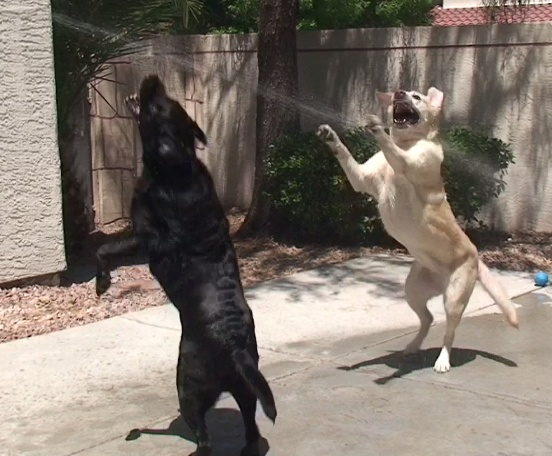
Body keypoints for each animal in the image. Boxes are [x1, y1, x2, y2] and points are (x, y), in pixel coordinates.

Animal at [128, 76, 276, 454]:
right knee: (251, 423)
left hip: (188, 387)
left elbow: (105, 252)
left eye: (157, 106)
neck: (179, 164)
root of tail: (235, 348)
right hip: (244, 387)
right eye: (167, 101)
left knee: (205, 436)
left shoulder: (144, 238)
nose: (153, 78)